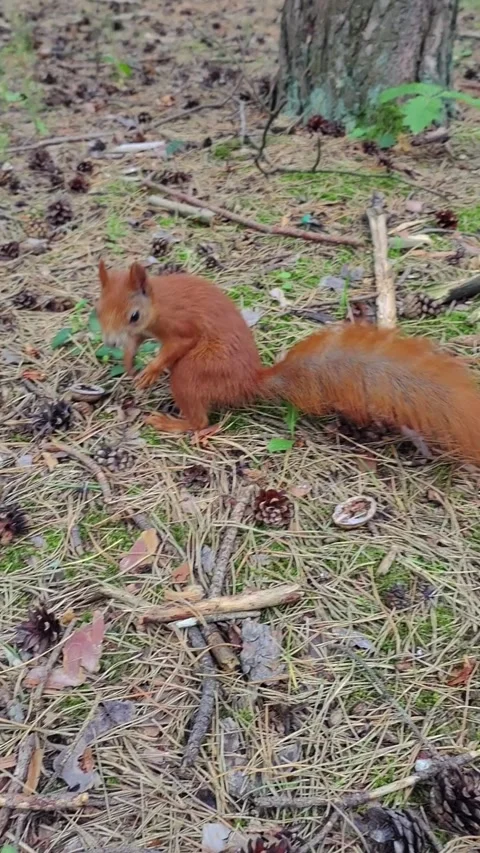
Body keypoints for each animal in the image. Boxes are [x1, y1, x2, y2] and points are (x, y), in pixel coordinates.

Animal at [96, 260, 480, 463]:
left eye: (133, 315)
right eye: (98, 310)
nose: (109, 342)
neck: (158, 302)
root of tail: (247, 382)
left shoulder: (180, 326)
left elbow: (176, 345)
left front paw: (150, 370)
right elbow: (138, 344)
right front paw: (129, 362)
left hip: (194, 372)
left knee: (200, 418)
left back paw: (176, 424)